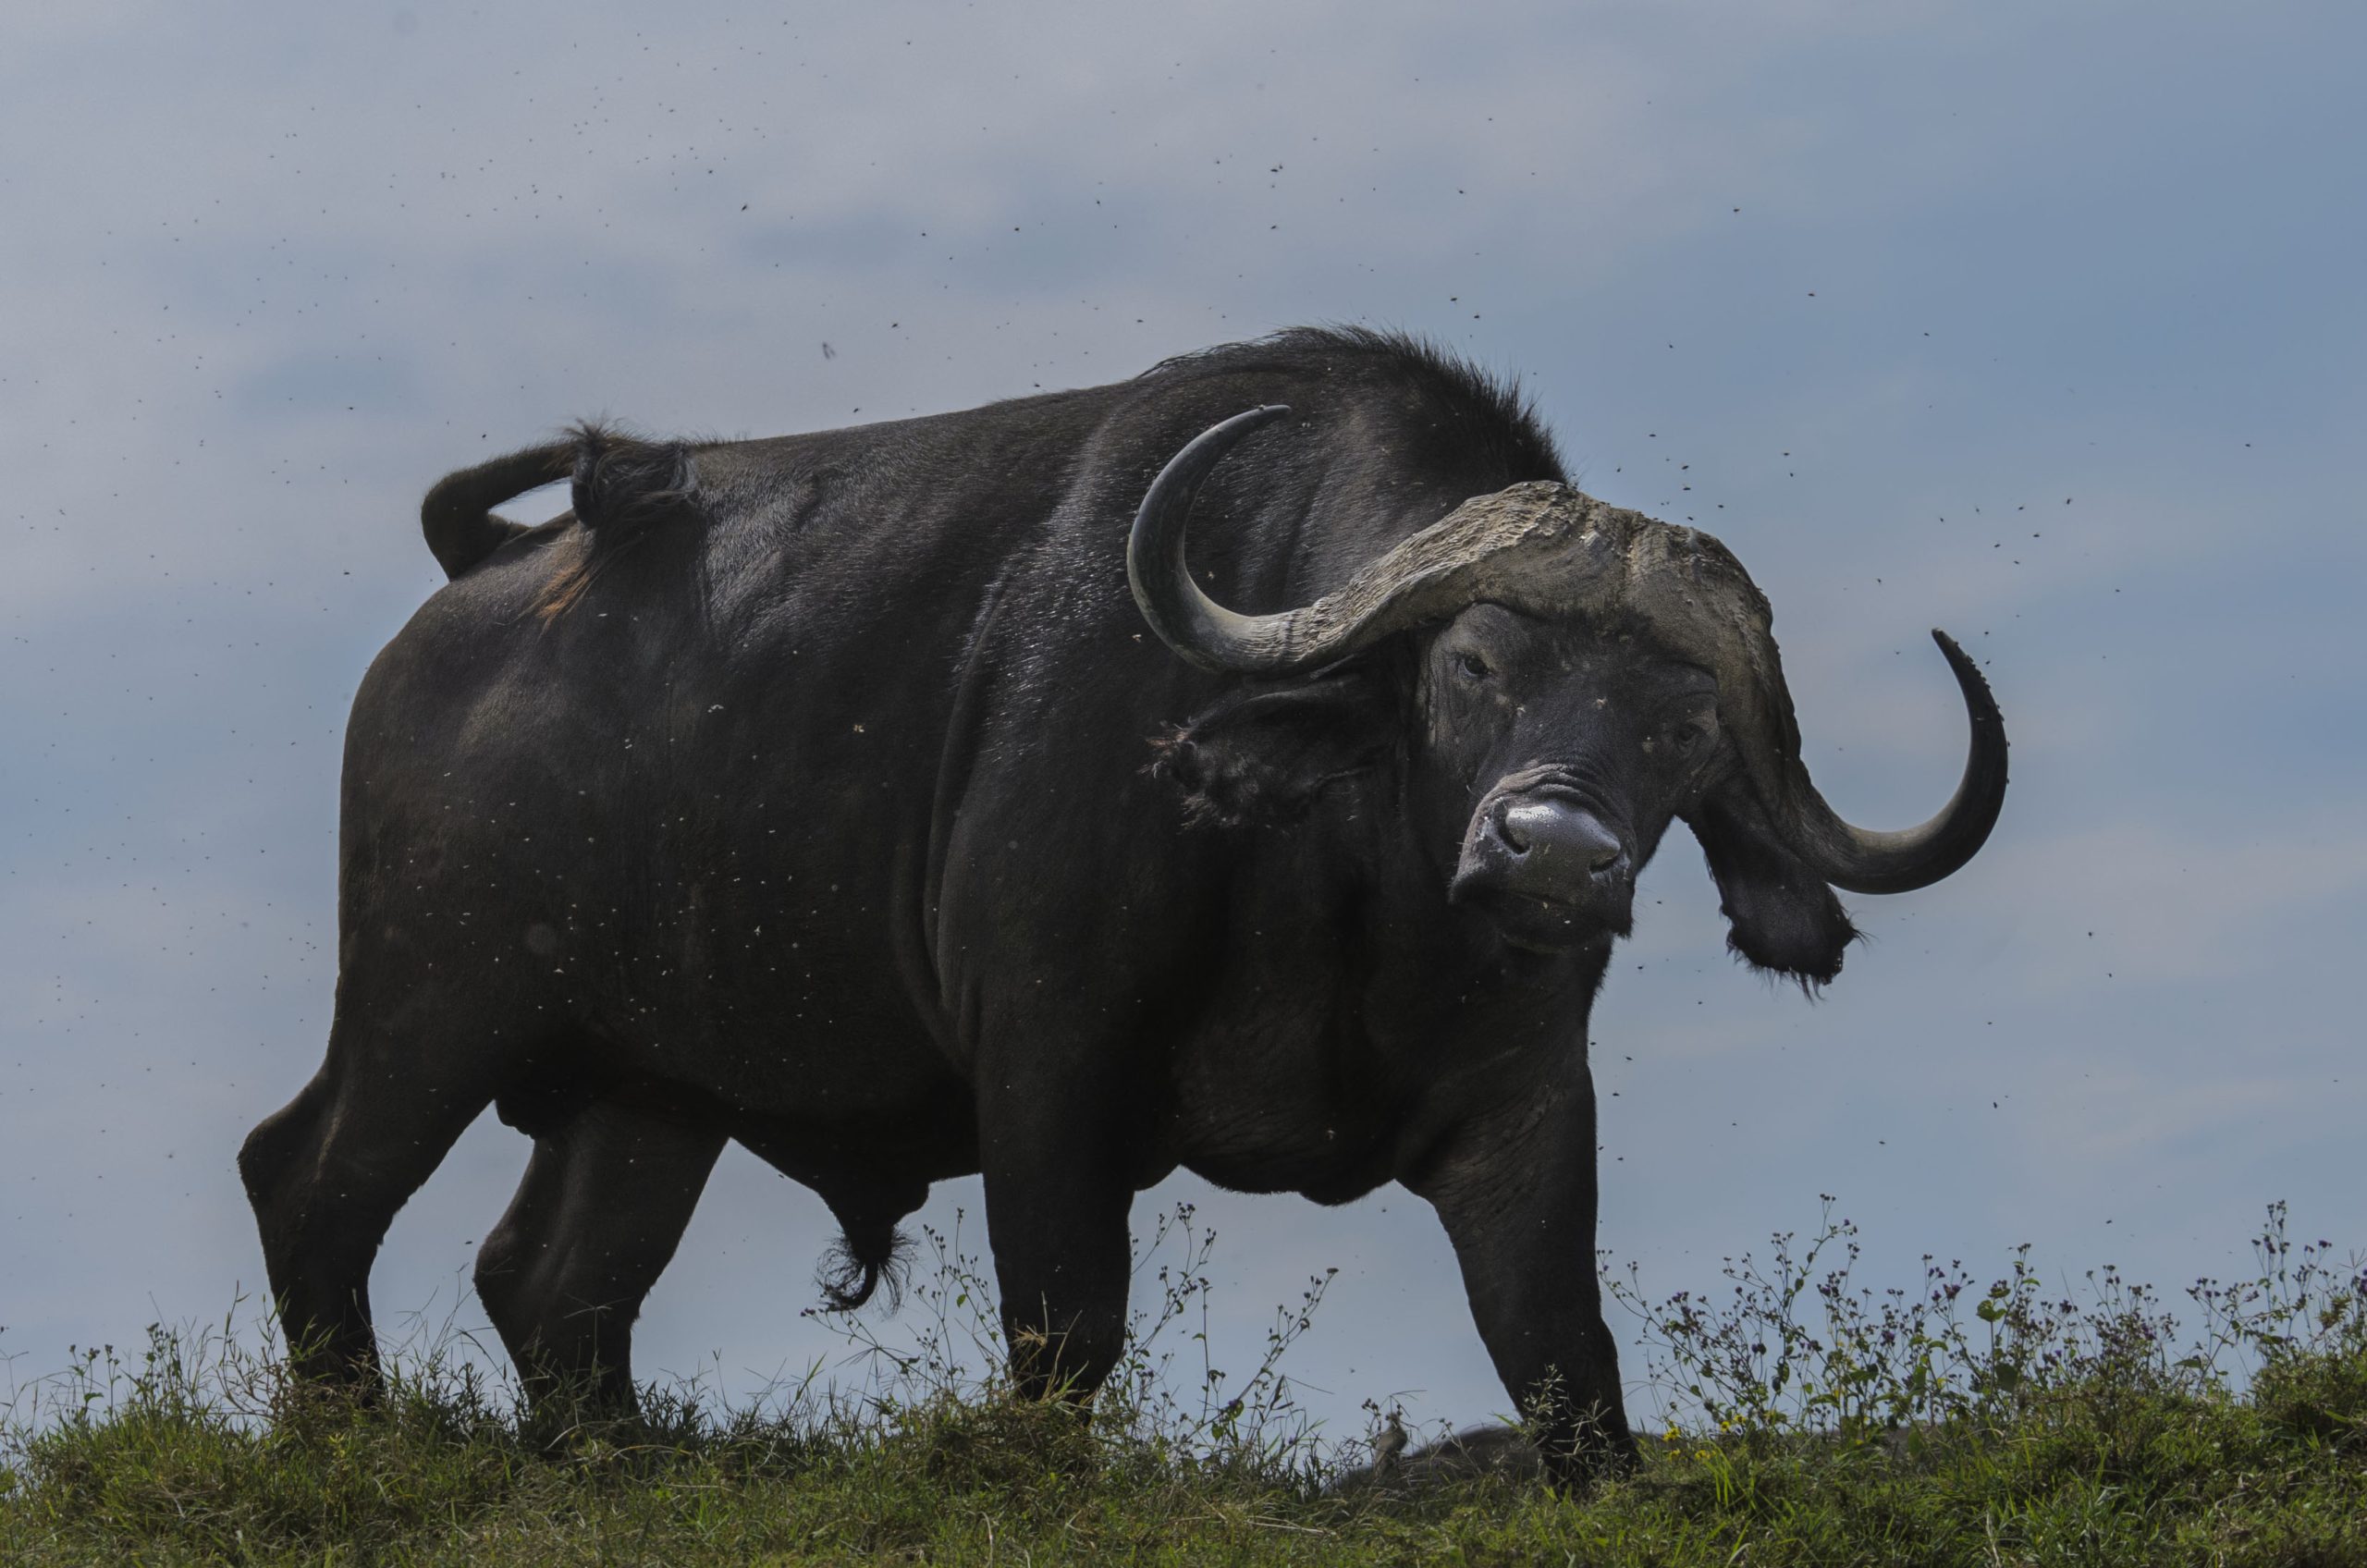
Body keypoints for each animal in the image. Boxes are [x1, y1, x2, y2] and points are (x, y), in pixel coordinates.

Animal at [239, 324, 2006, 1477]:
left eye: (1685, 729)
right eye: (1475, 664)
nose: (1555, 851)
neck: (1336, 898)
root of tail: (483, 585)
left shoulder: (1522, 1109)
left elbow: (1564, 1360)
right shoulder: (1046, 1064)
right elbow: (1069, 1322)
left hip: (649, 1090)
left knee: (552, 1285)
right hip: (430, 1001)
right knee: (309, 1175)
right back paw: (349, 1438)